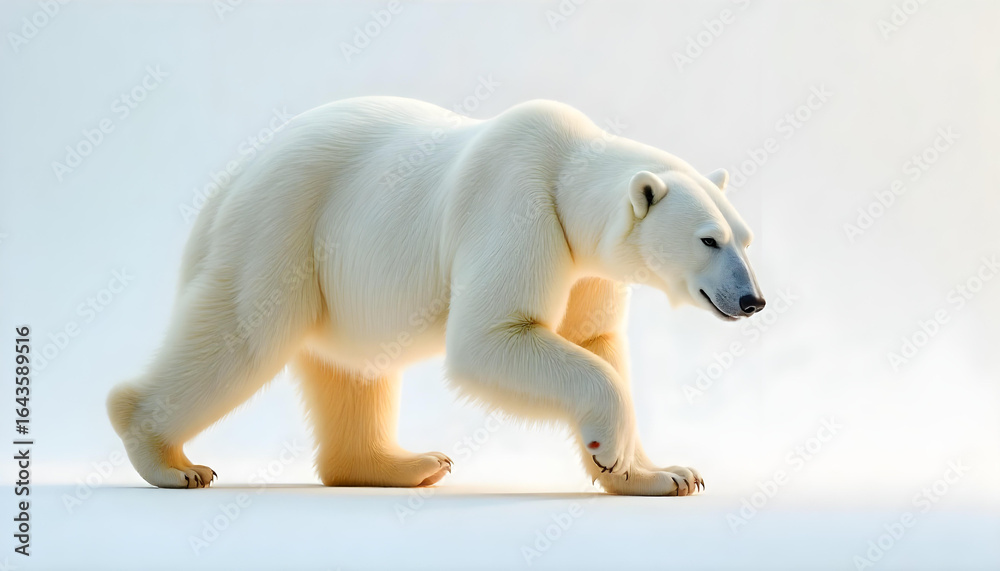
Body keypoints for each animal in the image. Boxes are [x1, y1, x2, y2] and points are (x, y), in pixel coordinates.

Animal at [107, 96, 765, 495]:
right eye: (708, 239)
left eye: (745, 238)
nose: (753, 301)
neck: (564, 171)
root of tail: (229, 181)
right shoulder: (518, 208)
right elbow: (491, 336)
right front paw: (613, 448)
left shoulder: (588, 268)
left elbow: (595, 340)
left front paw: (661, 472)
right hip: (282, 229)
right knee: (241, 336)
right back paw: (172, 461)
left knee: (354, 370)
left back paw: (406, 463)